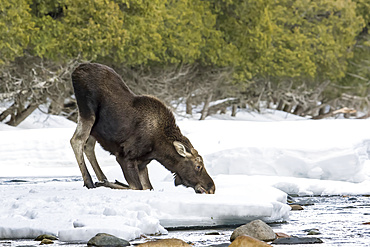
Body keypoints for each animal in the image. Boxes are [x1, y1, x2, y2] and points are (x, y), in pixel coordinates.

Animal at [70, 62, 215, 194]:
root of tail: (76, 71)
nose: (211, 188)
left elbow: (148, 187)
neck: (158, 149)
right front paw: (108, 184)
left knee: (88, 146)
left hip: (95, 129)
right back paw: (90, 182)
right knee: (76, 141)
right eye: (198, 166)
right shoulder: (124, 156)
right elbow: (137, 187)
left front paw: (107, 183)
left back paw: (102, 178)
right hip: (87, 113)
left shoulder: (142, 164)